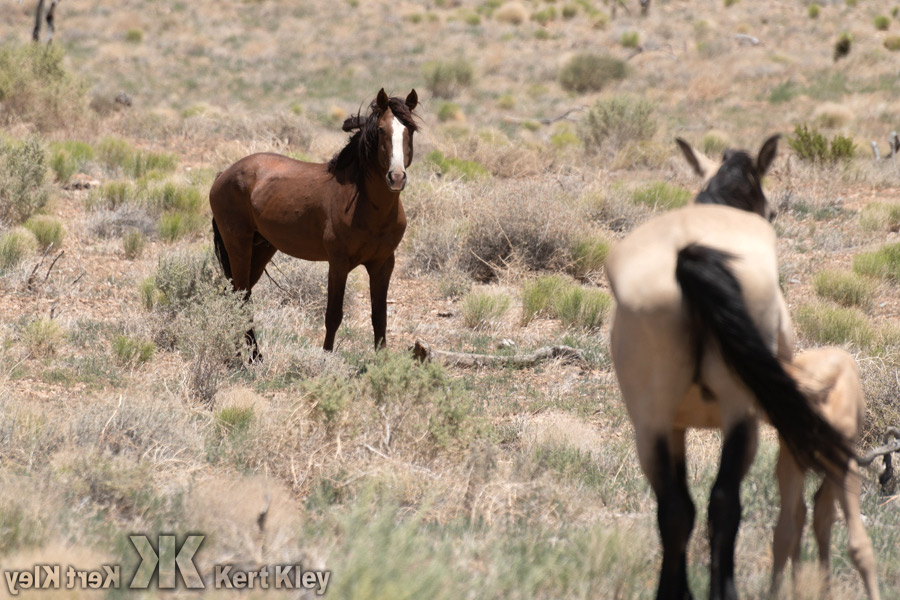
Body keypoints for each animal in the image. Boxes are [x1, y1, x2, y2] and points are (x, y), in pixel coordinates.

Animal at [209, 88, 419, 360]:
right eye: (382, 130)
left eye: (410, 130)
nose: (396, 177)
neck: (368, 206)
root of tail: (223, 174)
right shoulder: (338, 263)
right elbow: (334, 315)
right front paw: (326, 359)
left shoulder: (383, 264)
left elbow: (379, 317)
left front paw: (382, 363)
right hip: (238, 245)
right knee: (241, 295)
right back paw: (250, 357)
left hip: (262, 248)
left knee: (238, 293)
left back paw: (244, 354)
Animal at [605, 135, 854, 600]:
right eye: (769, 210)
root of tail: (689, 256)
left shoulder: (673, 428)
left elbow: (678, 507)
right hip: (742, 417)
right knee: (723, 502)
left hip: (650, 423)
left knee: (675, 509)